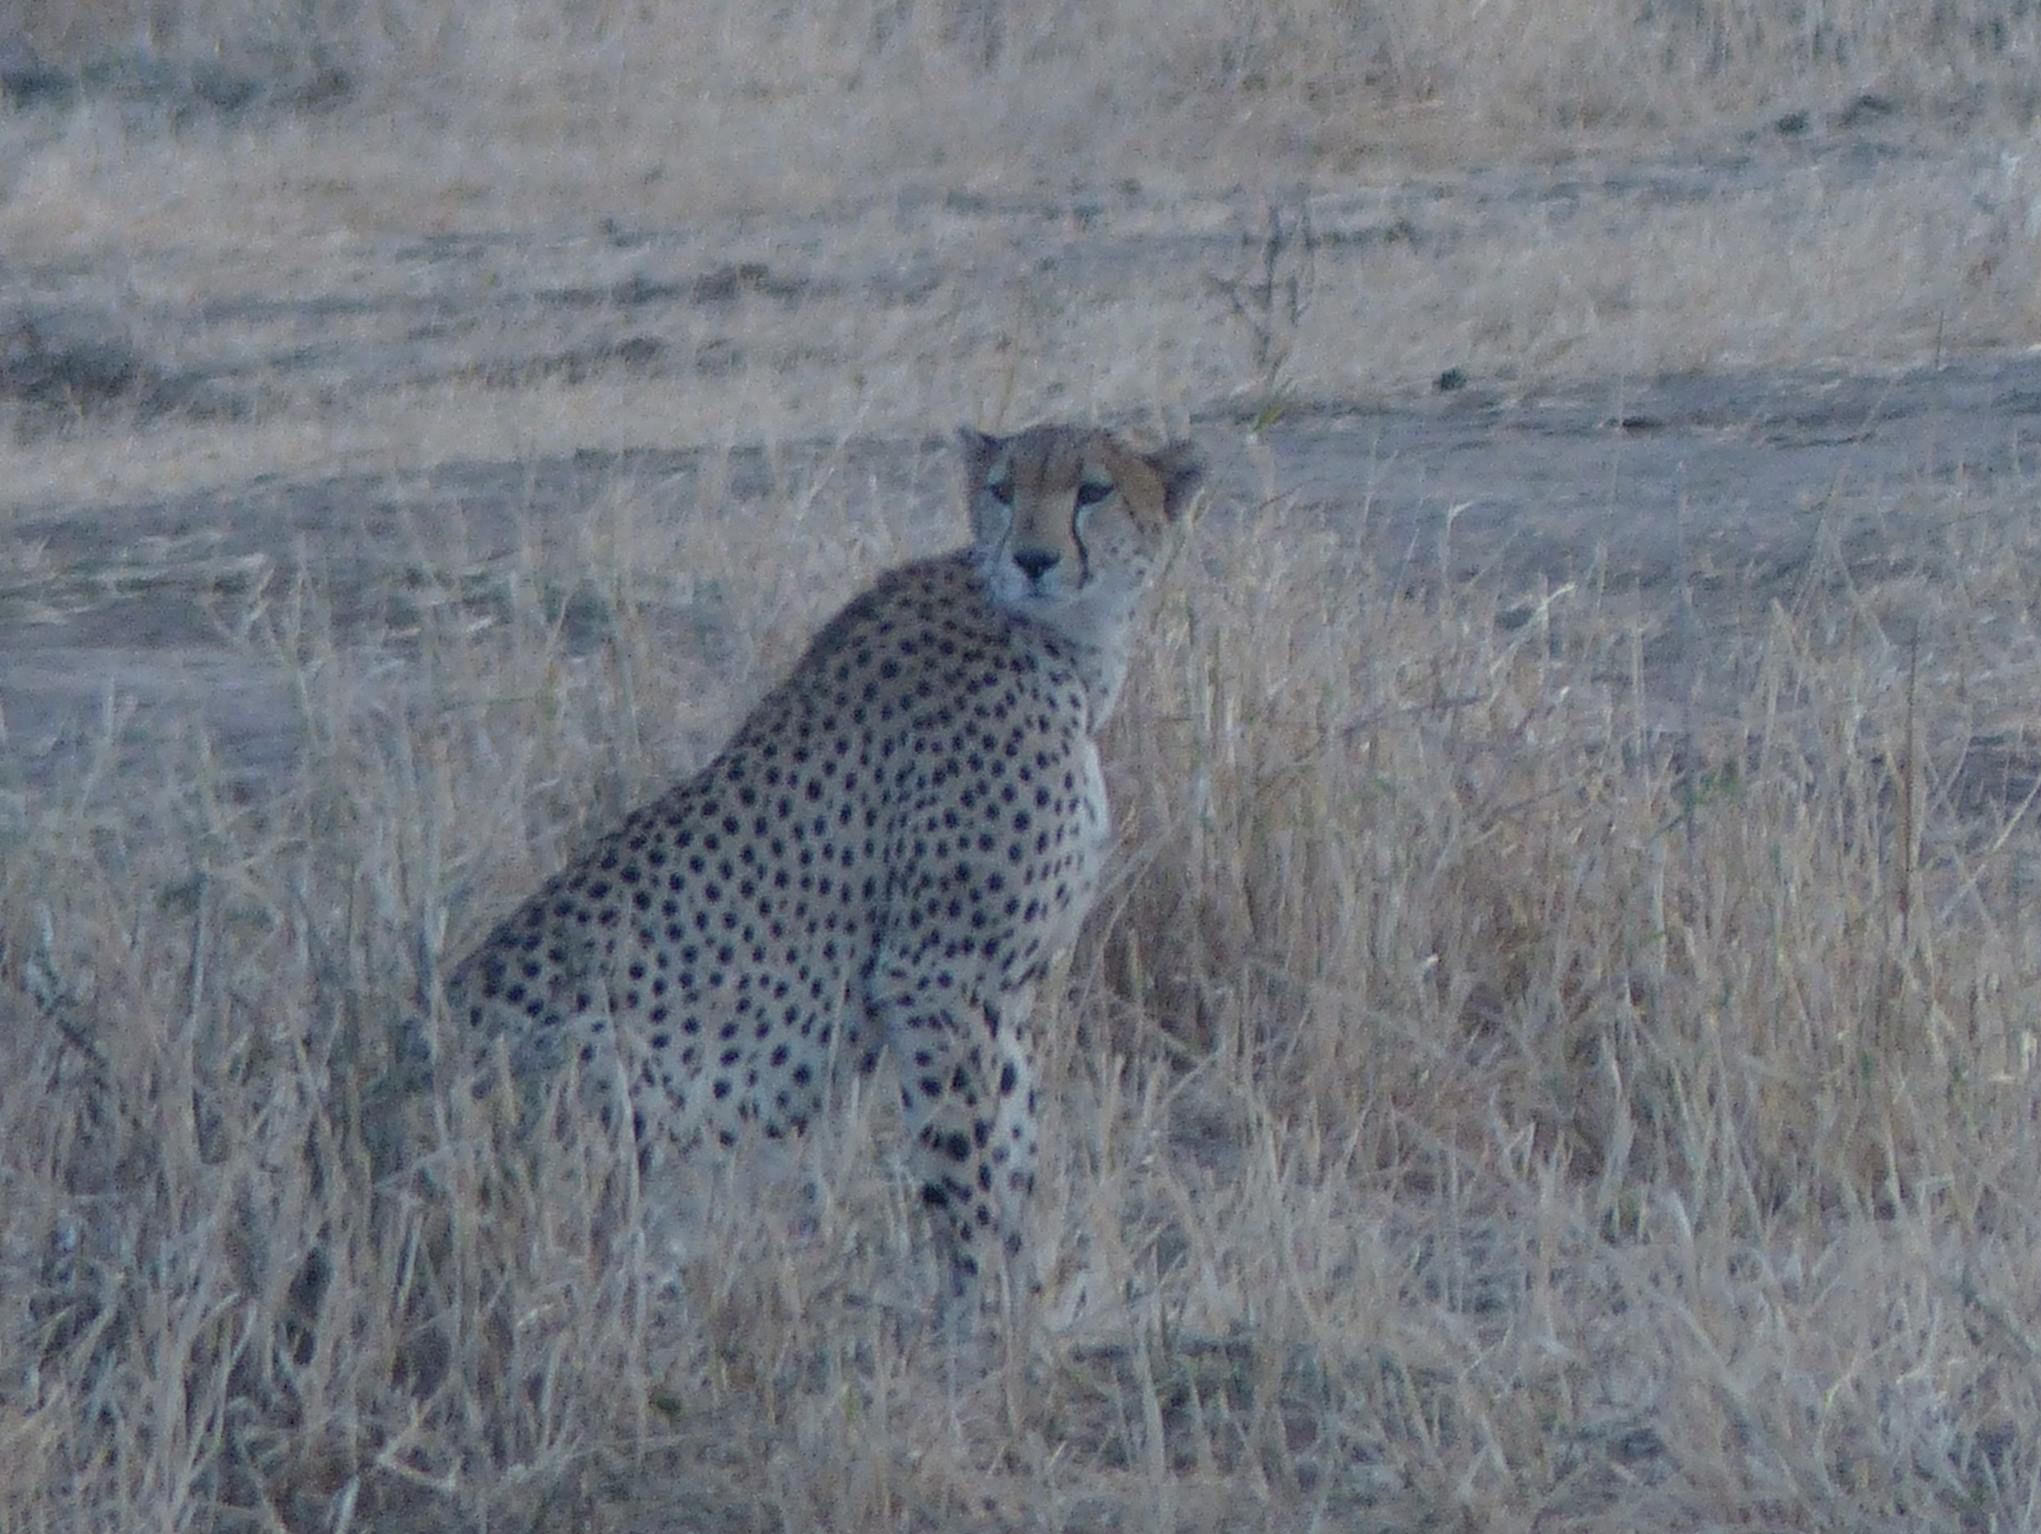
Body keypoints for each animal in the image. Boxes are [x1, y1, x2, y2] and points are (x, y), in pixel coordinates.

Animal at [430, 420, 1191, 1297]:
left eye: (1092, 490)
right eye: (1003, 490)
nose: (1032, 559)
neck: (1062, 645)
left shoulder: (998, 988)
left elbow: (1013, 1140)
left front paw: (1018, 1286)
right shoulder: (937, 976)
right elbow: (970, 1157)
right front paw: (988, 1298)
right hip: (596, 1057)